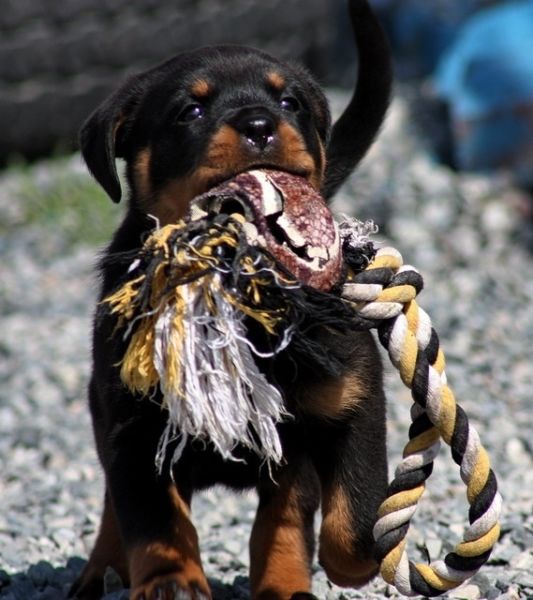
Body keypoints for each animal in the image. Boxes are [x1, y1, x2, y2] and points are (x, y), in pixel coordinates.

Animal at [70, 1, 392, 600]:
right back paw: (100, 569)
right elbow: (154, 518)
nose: (260, 125)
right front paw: (171, 579)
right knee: (112, 503)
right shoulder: (135, 424)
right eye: (190, 110)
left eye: (289, 102)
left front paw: (327, 571)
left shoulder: (349, 399)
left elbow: (342, 519)